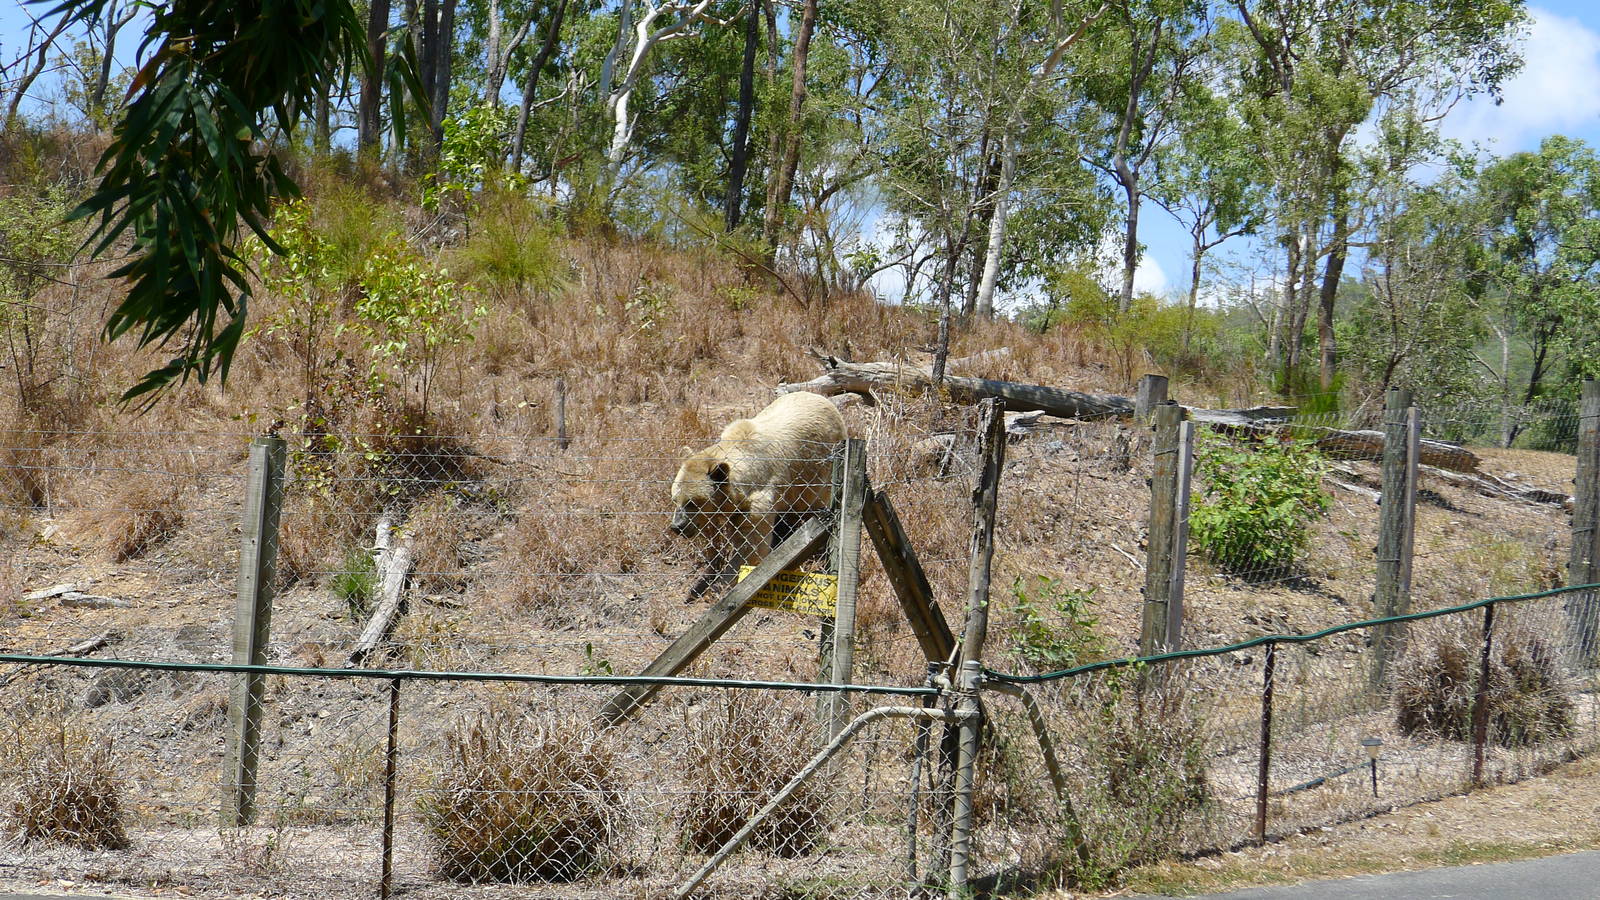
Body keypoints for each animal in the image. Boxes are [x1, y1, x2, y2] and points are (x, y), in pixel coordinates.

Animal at [670, 391, 847, 576]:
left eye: (692, 502)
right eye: (675, 499)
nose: (677, 526)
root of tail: (820, 397)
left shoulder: (758, 501)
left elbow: (752, 546)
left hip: (819, 471)